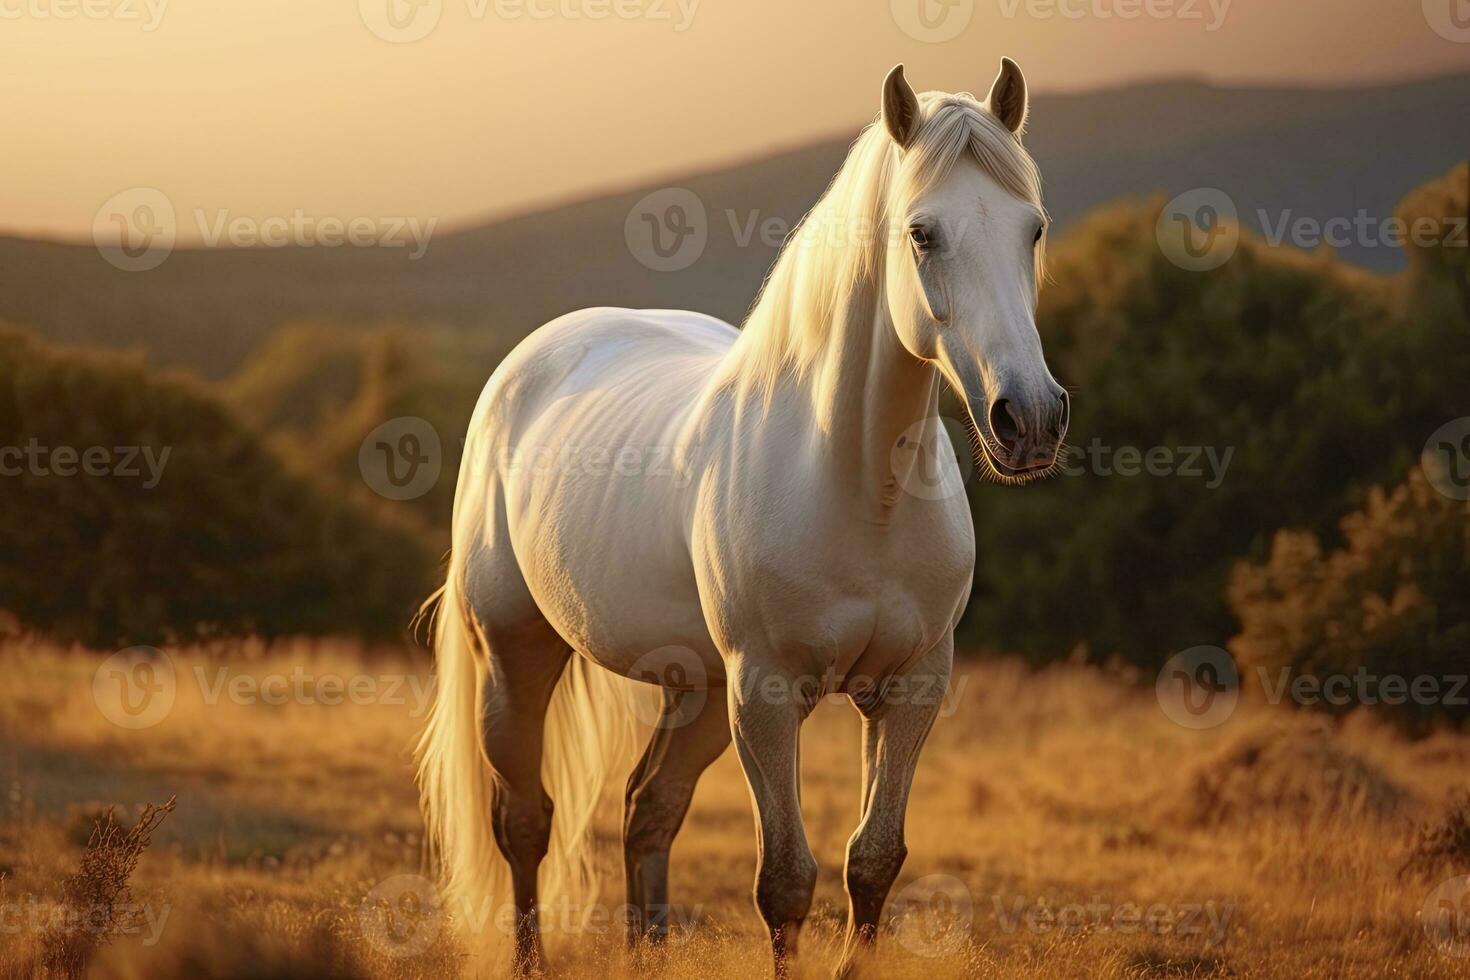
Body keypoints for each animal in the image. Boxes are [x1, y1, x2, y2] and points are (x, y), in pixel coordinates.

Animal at [414, 63, 1070, 980]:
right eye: (923, 233)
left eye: (1032, 228)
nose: (1031, 419)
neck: (855, 486)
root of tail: (531, 362)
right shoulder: (765, 695)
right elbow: (785, 881)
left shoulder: (912, 689)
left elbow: (873, 861)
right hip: (517, 655)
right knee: (525, 822)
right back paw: (530, 960)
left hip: (695, 689)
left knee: (648, 807)